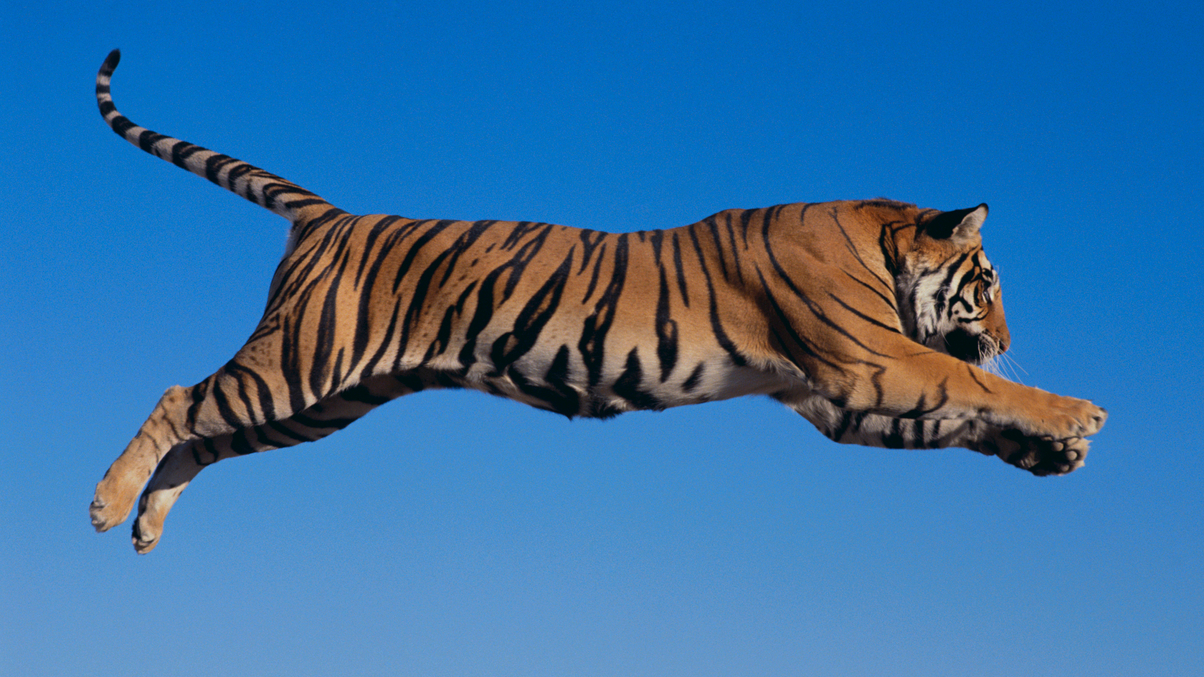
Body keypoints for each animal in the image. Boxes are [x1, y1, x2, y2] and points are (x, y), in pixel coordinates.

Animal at [90, 50, 1106, 554]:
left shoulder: (839, 399)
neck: (879, 239)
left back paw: (146, 524)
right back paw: (107, 503)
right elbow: (970, 385)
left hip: (324, 399)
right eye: (991, 287)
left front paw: (1050, 452)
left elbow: (961, 412)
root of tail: (331, 214)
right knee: (180, 398)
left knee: (207, 435)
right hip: (302, 365)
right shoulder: (870, 361)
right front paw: (1077, 414)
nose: (1006, 333)